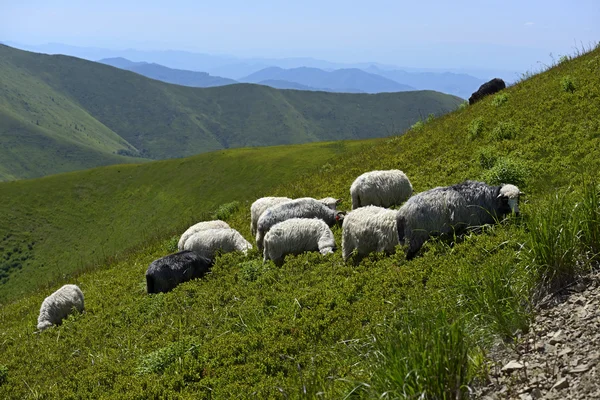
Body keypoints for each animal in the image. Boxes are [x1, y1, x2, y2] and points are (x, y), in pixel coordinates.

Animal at [396, 180, 524, 260]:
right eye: (505, 200)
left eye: (518, 199)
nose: (517, 213)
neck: (489, 199)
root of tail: (401, 212)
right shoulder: (474, 225)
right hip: (416, 236)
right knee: (409, 254)